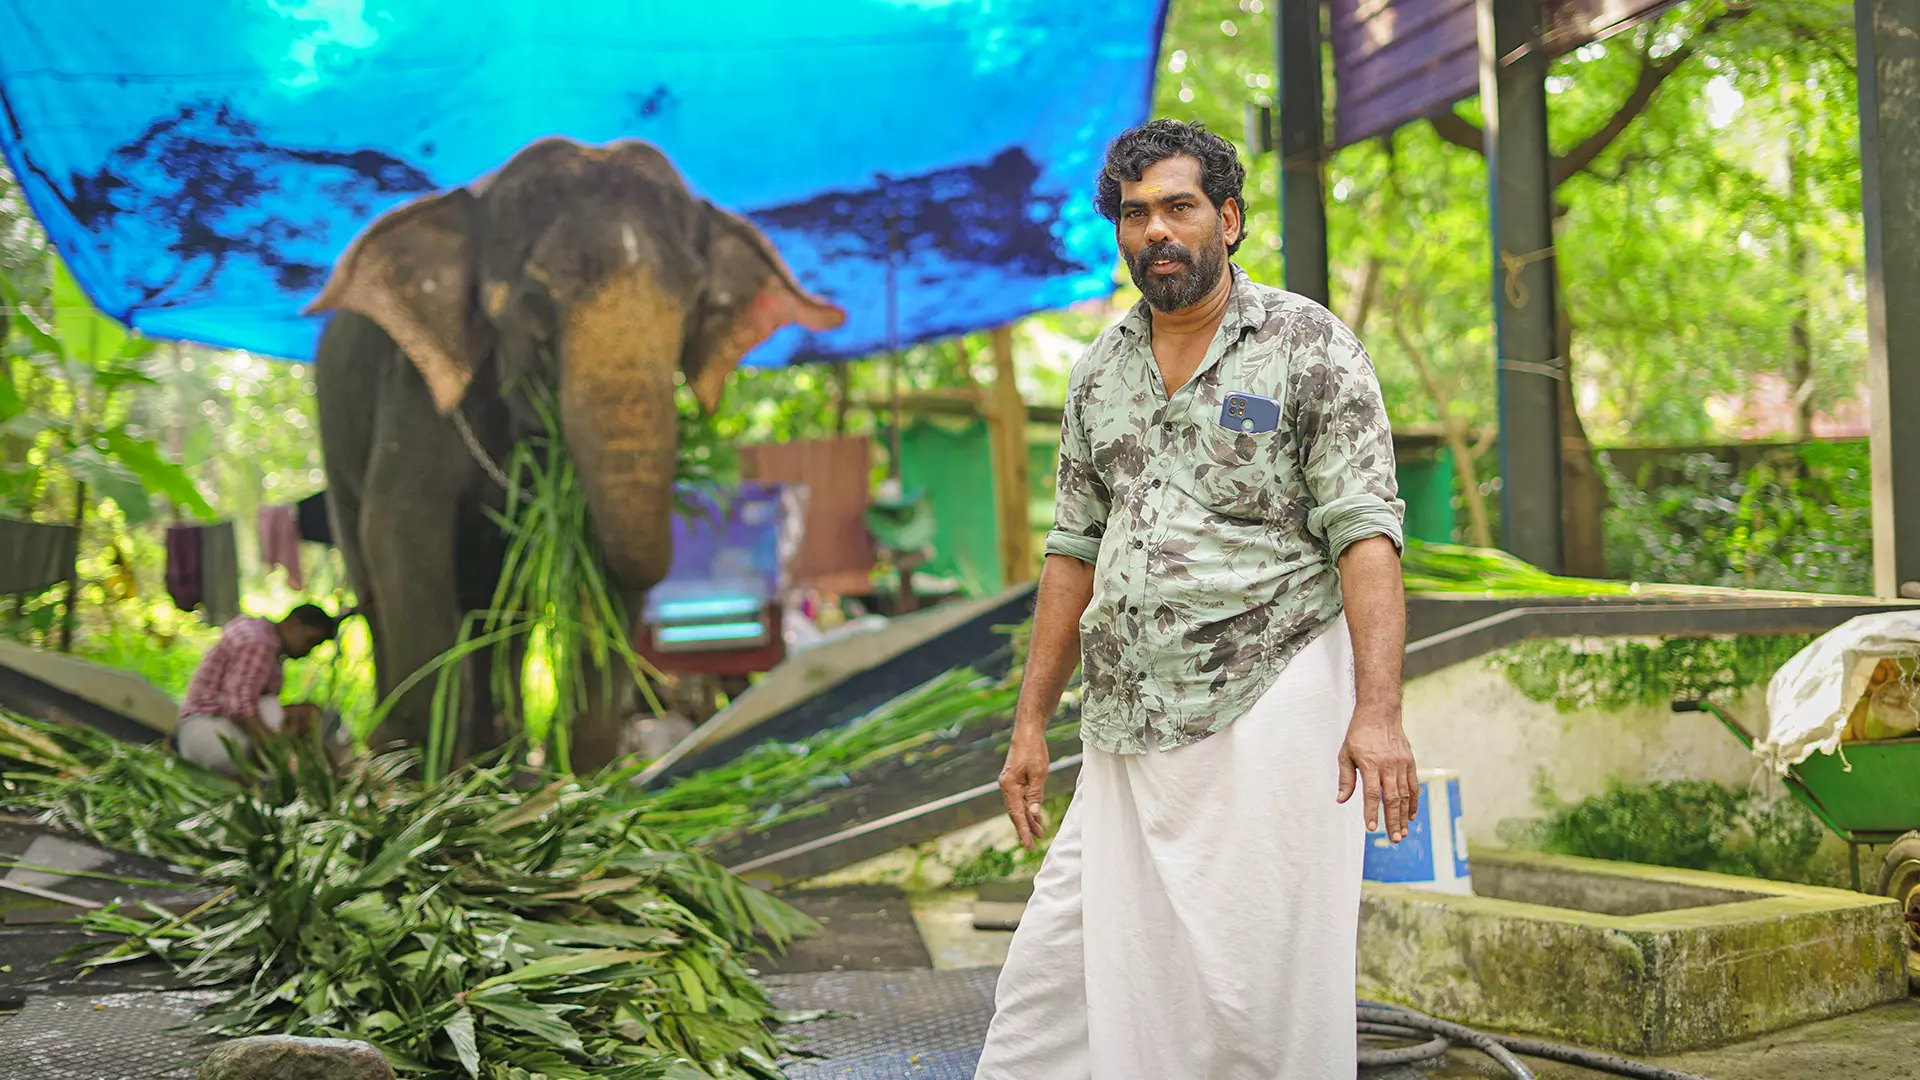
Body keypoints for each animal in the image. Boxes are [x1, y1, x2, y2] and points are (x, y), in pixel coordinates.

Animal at [309, 138, 848, 768]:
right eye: (535, 296)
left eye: (696, 297)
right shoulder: (415, 390)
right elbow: (403, 534)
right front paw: (414, 776)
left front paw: (590, 777)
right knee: (376, 591)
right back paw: (402, 759)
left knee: (501, 616)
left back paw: (501, 762)